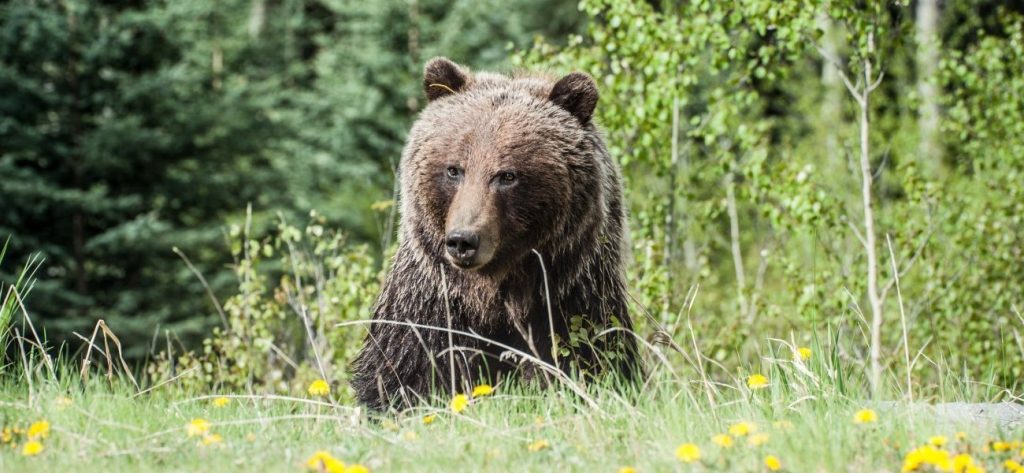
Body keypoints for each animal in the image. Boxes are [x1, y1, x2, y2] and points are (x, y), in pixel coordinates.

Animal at [352, 56, 638, 409]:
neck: (494, 295)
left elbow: (589, 360)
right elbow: (403, 372)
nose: (463, 240)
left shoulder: (571, 299)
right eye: (454, 169)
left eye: (507, 176)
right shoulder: (430, 305)